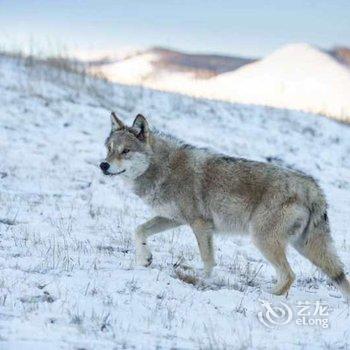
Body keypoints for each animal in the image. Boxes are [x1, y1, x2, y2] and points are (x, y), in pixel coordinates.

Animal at [100, 112, 348, 298]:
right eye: (109, 149)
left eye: (125, 151)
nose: (103, 165)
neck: (162, 167)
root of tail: (312, 186)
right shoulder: (174, 219)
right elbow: (139, 230)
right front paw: (145, 259)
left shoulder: (200, 225)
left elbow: (208, 259)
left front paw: (203, 282)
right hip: (304, 247)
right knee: (337, 276)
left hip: (263, 240)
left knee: (289, 275)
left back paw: (267, 296)